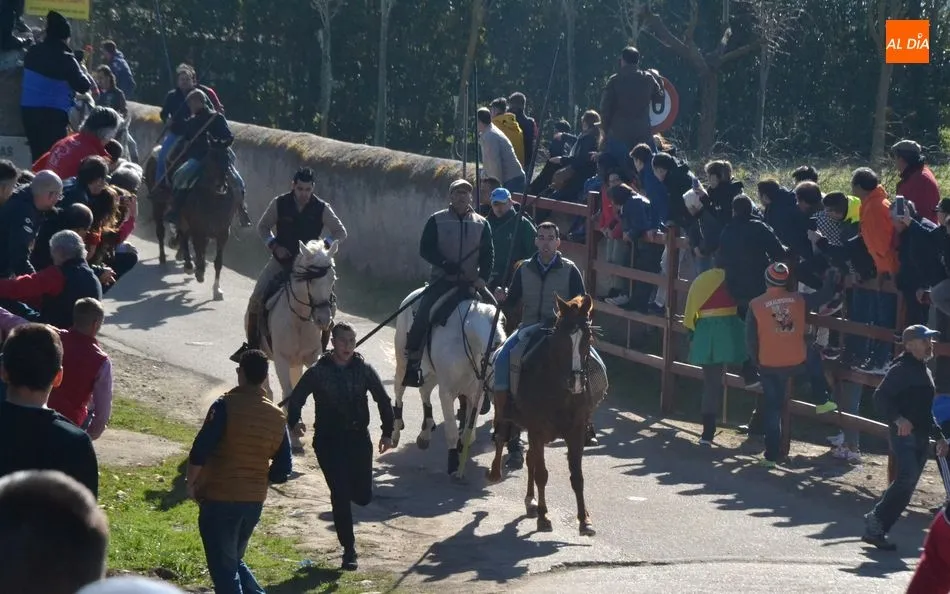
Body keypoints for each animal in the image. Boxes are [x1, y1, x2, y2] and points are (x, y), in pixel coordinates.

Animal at [177, 147, 237, 300]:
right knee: (184, 237)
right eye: (211, 158)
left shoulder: (223, 233)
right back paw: (189, 265)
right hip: (184, 220)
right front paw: (198, 271)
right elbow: (198, 248)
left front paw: (217, 290)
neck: (214, 202)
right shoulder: (198, 228)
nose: (221, 186)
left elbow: (218, 262)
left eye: (228, 159)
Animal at [256, 239, 337, 451]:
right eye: (310, 280)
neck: (299, 320)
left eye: (332, 279)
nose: (323, 320)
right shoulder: (281, 359)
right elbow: (288, 391)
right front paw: (293, 430)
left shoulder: (312, 356)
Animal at [392, 286, 507, 475]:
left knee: (425, 391)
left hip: (434, 373)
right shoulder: (447, 392)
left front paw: (462, 449)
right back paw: (395, 433)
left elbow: (469, 433)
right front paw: (454, 463)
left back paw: (425, 432)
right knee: (399, 391)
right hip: (402, 363)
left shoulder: (475, 394)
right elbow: (452, 430)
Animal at [487, 294, 605, 536]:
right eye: (561, 339)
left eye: (588, 338)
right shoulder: (537, 430)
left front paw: (585, 521)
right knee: (502, 437)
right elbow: (542, 474)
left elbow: (577, 476)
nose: (575, 381)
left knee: (530, 458)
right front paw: (544, 517)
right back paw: (495, 473)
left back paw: (530, 501)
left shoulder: (575, 432)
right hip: (506, 414)